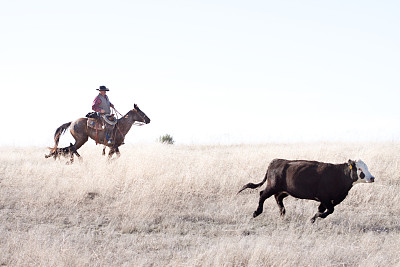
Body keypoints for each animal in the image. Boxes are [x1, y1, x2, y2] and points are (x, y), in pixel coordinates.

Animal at [238, 159, 376, 224]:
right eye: (359, 169)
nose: (372, 178)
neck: (339, 175)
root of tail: (276, 161)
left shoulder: (328, 200)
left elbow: (322, 210)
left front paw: (313, 219)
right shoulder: (324, 197)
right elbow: (330, 210)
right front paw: (314, 218)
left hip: (284, 190)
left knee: (278, 198)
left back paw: (282, 214)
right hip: (272, 186)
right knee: (262, 195)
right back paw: (256, 212)